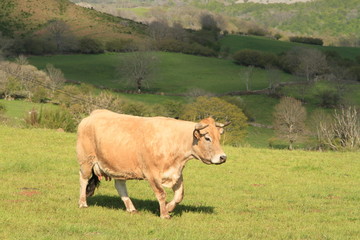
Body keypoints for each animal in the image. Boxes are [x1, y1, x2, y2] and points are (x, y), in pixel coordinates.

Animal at [76, 109, 231, 218]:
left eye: (219, 138)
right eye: (207, 138)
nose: (223, 157)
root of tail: (93, 114)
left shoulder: (176, 173)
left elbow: (179, 195)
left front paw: (167, 208)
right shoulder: (152, 173)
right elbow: (161, 193)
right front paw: (164, 214)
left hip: (118, 166)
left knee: (120, 186)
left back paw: (131, 208)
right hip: (86, 161)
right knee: (84, 180)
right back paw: (83, 203)